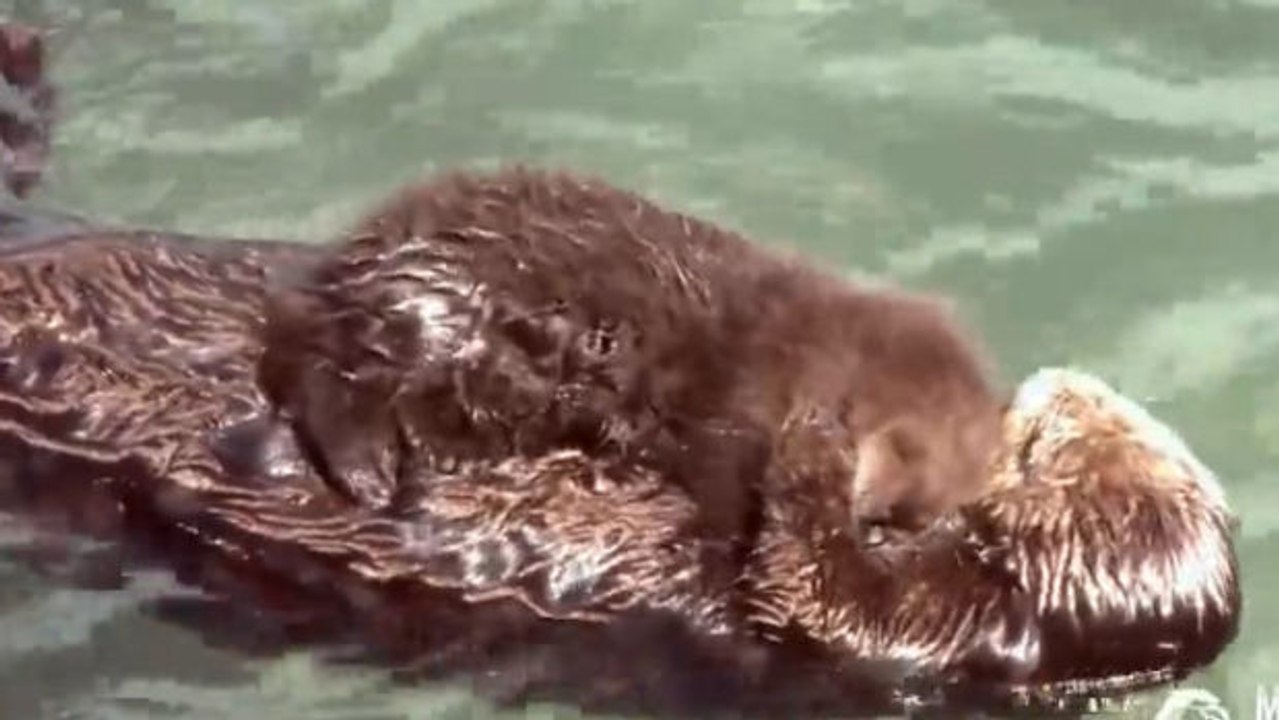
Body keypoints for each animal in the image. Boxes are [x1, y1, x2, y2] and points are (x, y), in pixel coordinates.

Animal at [258, 169, 1004, 556]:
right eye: (897, 467)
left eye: (906, 520)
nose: (874, 527)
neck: (808, 358)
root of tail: (360, 260)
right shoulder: (738, 413)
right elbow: (722, 479)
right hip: (434, 317)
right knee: (324, 370)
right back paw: (373, 472)